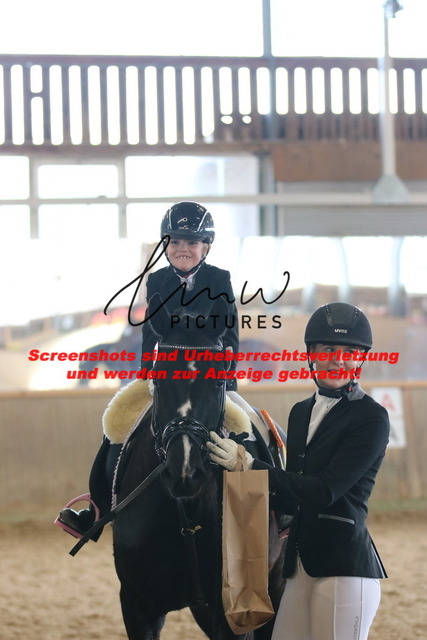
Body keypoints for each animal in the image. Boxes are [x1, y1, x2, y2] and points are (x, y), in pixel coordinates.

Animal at [110, 297, 286, 640]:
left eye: (218, 381)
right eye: (158, 378)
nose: (184, 473)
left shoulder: (236, 608)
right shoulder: (137, 604)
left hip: (275, 583)